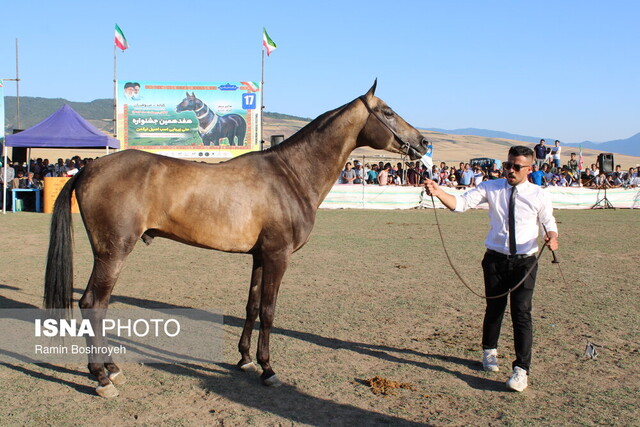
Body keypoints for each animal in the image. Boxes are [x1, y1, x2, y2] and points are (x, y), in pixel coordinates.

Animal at [45, 82, 430, 400]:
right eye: (387, 111)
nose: (424, 143)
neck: (290, 174)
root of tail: (88, 168)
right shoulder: (278, 256)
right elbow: (270, 311)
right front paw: (268, 370)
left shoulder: (260, 256)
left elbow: (252, 306)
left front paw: (245, 360)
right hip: (112, 253)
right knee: (93, 303)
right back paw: (101, 377)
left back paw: (111, 368)